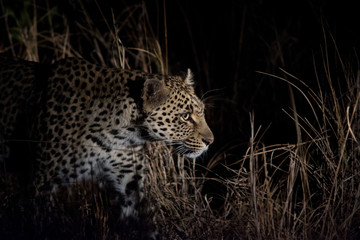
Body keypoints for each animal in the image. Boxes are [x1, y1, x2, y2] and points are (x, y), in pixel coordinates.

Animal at [0, 55, 214, 237]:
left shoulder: (130, 182)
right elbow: (38, 223)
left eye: (202, 112)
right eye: (185, 116)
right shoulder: (40, 182)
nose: (210, 141)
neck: (120, 134)